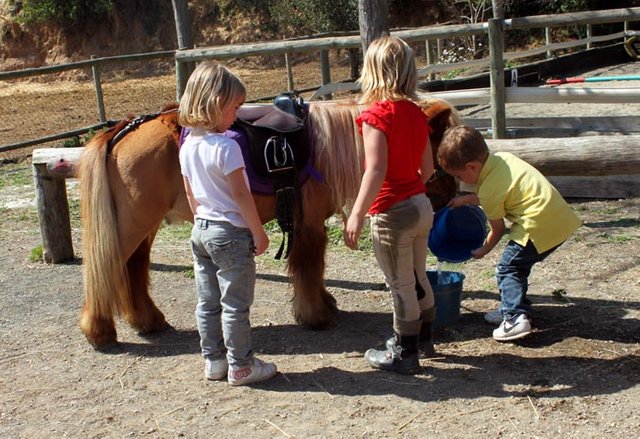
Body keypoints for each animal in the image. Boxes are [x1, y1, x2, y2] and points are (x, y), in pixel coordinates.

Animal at [79, 98, 460, 348]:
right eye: (434, 145)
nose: (450, 193)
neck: (324, 147)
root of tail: (122, 130)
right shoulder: (308, 224)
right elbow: (309, 267)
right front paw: (315, 315)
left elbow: (314, 269)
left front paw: (324, 304)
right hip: (133, 224)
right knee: (107, 269)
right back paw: (99, 330)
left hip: (145, 225)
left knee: (133, 267)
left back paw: (147, 320)